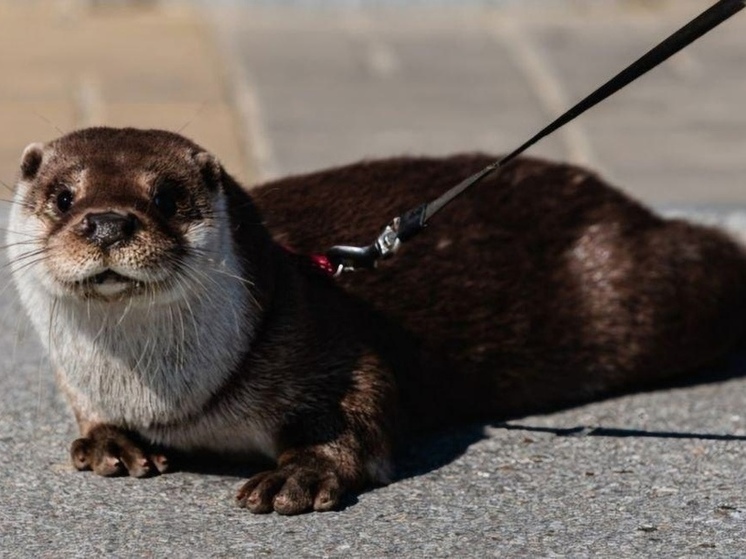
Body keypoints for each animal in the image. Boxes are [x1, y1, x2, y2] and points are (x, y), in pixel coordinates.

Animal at [5, 128, 744, 516]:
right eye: (63, 196)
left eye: (164, 197)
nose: (106, 221)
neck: (176, 402)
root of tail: (618, 199)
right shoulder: (79, 380)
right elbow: (88, 413)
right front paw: (109, 441)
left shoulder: (318, 335)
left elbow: (366, 398)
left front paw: (298, 475)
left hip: (641, 292)